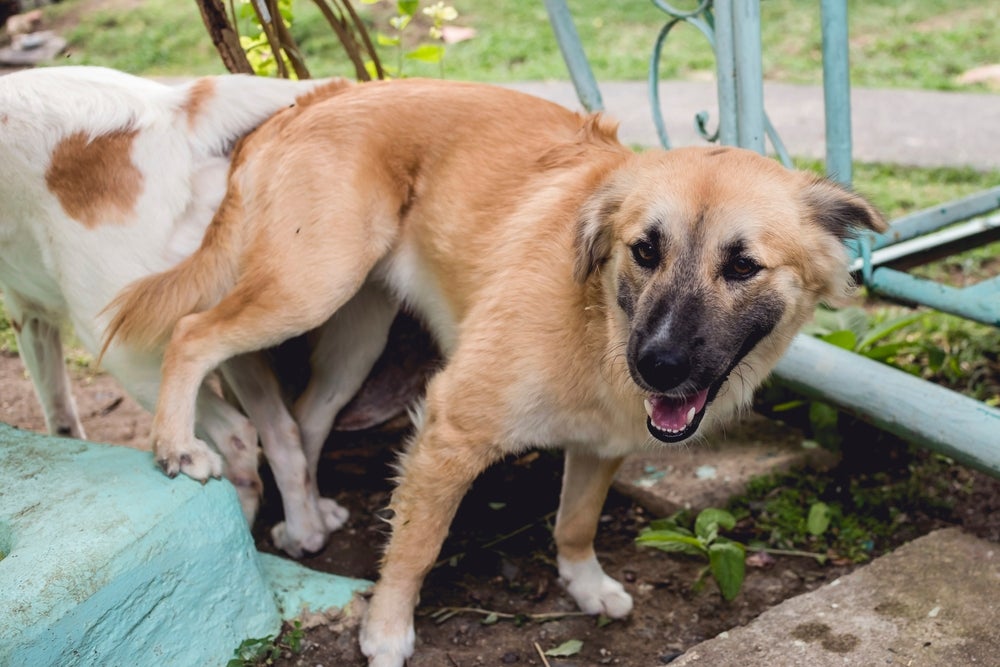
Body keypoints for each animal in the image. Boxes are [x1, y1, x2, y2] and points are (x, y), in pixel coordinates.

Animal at [0, 66, 396, 560]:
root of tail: (174, 108)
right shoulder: (31, 318)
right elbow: (62, 417)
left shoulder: (26, 317)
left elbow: (58, 412)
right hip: (295, 328)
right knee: (289, 429)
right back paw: (307, 529)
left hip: (123, 347)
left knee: (236, 435)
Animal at [101, 77, 884, 664]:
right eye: (645, 250)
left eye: (743, 266)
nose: (655, 366)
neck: (596, 323)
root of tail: (313, 98)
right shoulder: (452, 427)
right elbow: (416, 545)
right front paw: (386, 632)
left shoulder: (602, 444)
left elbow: (575, 523)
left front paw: (584, 586)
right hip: (308, 287)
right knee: (193, 333)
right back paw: (177, 443)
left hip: (358, 330)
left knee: (304, 421)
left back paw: (308, 517)